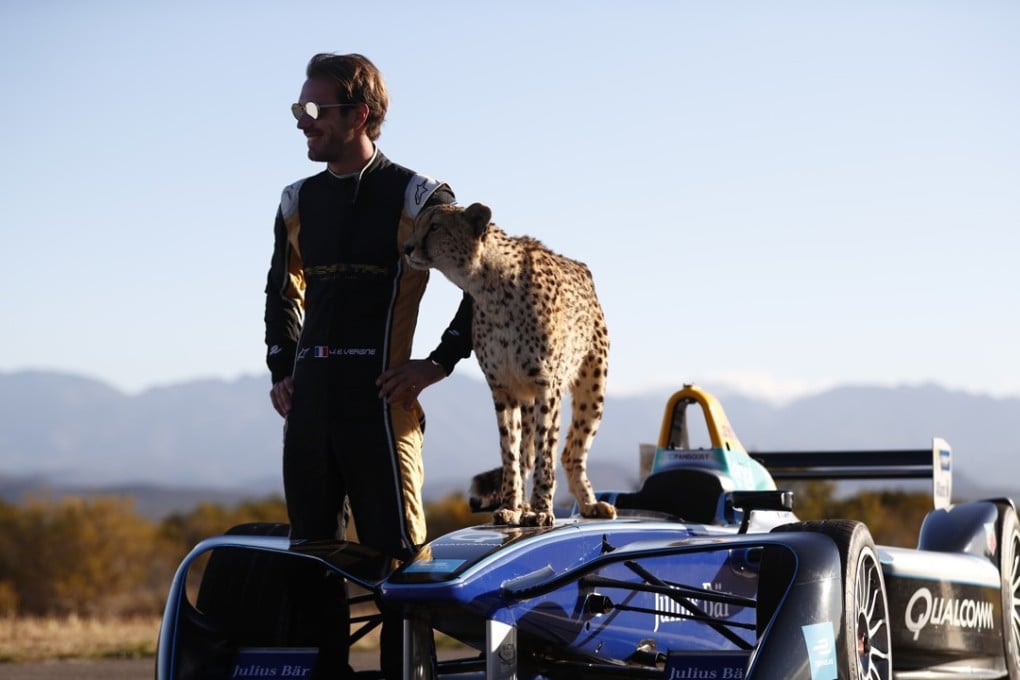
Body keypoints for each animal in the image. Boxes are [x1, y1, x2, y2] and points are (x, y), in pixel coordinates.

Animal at [403, 202, 616, 526]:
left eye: (435, 226)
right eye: (417, 225)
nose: (406, 247)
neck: (488, 285)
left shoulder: (545, 385)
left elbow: (544, 452)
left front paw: (540, 509)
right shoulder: (503, 388)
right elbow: (511, 451)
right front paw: (512, 506)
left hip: (592, 388)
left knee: (570, 452)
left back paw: (590, 503)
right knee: (530, 451)